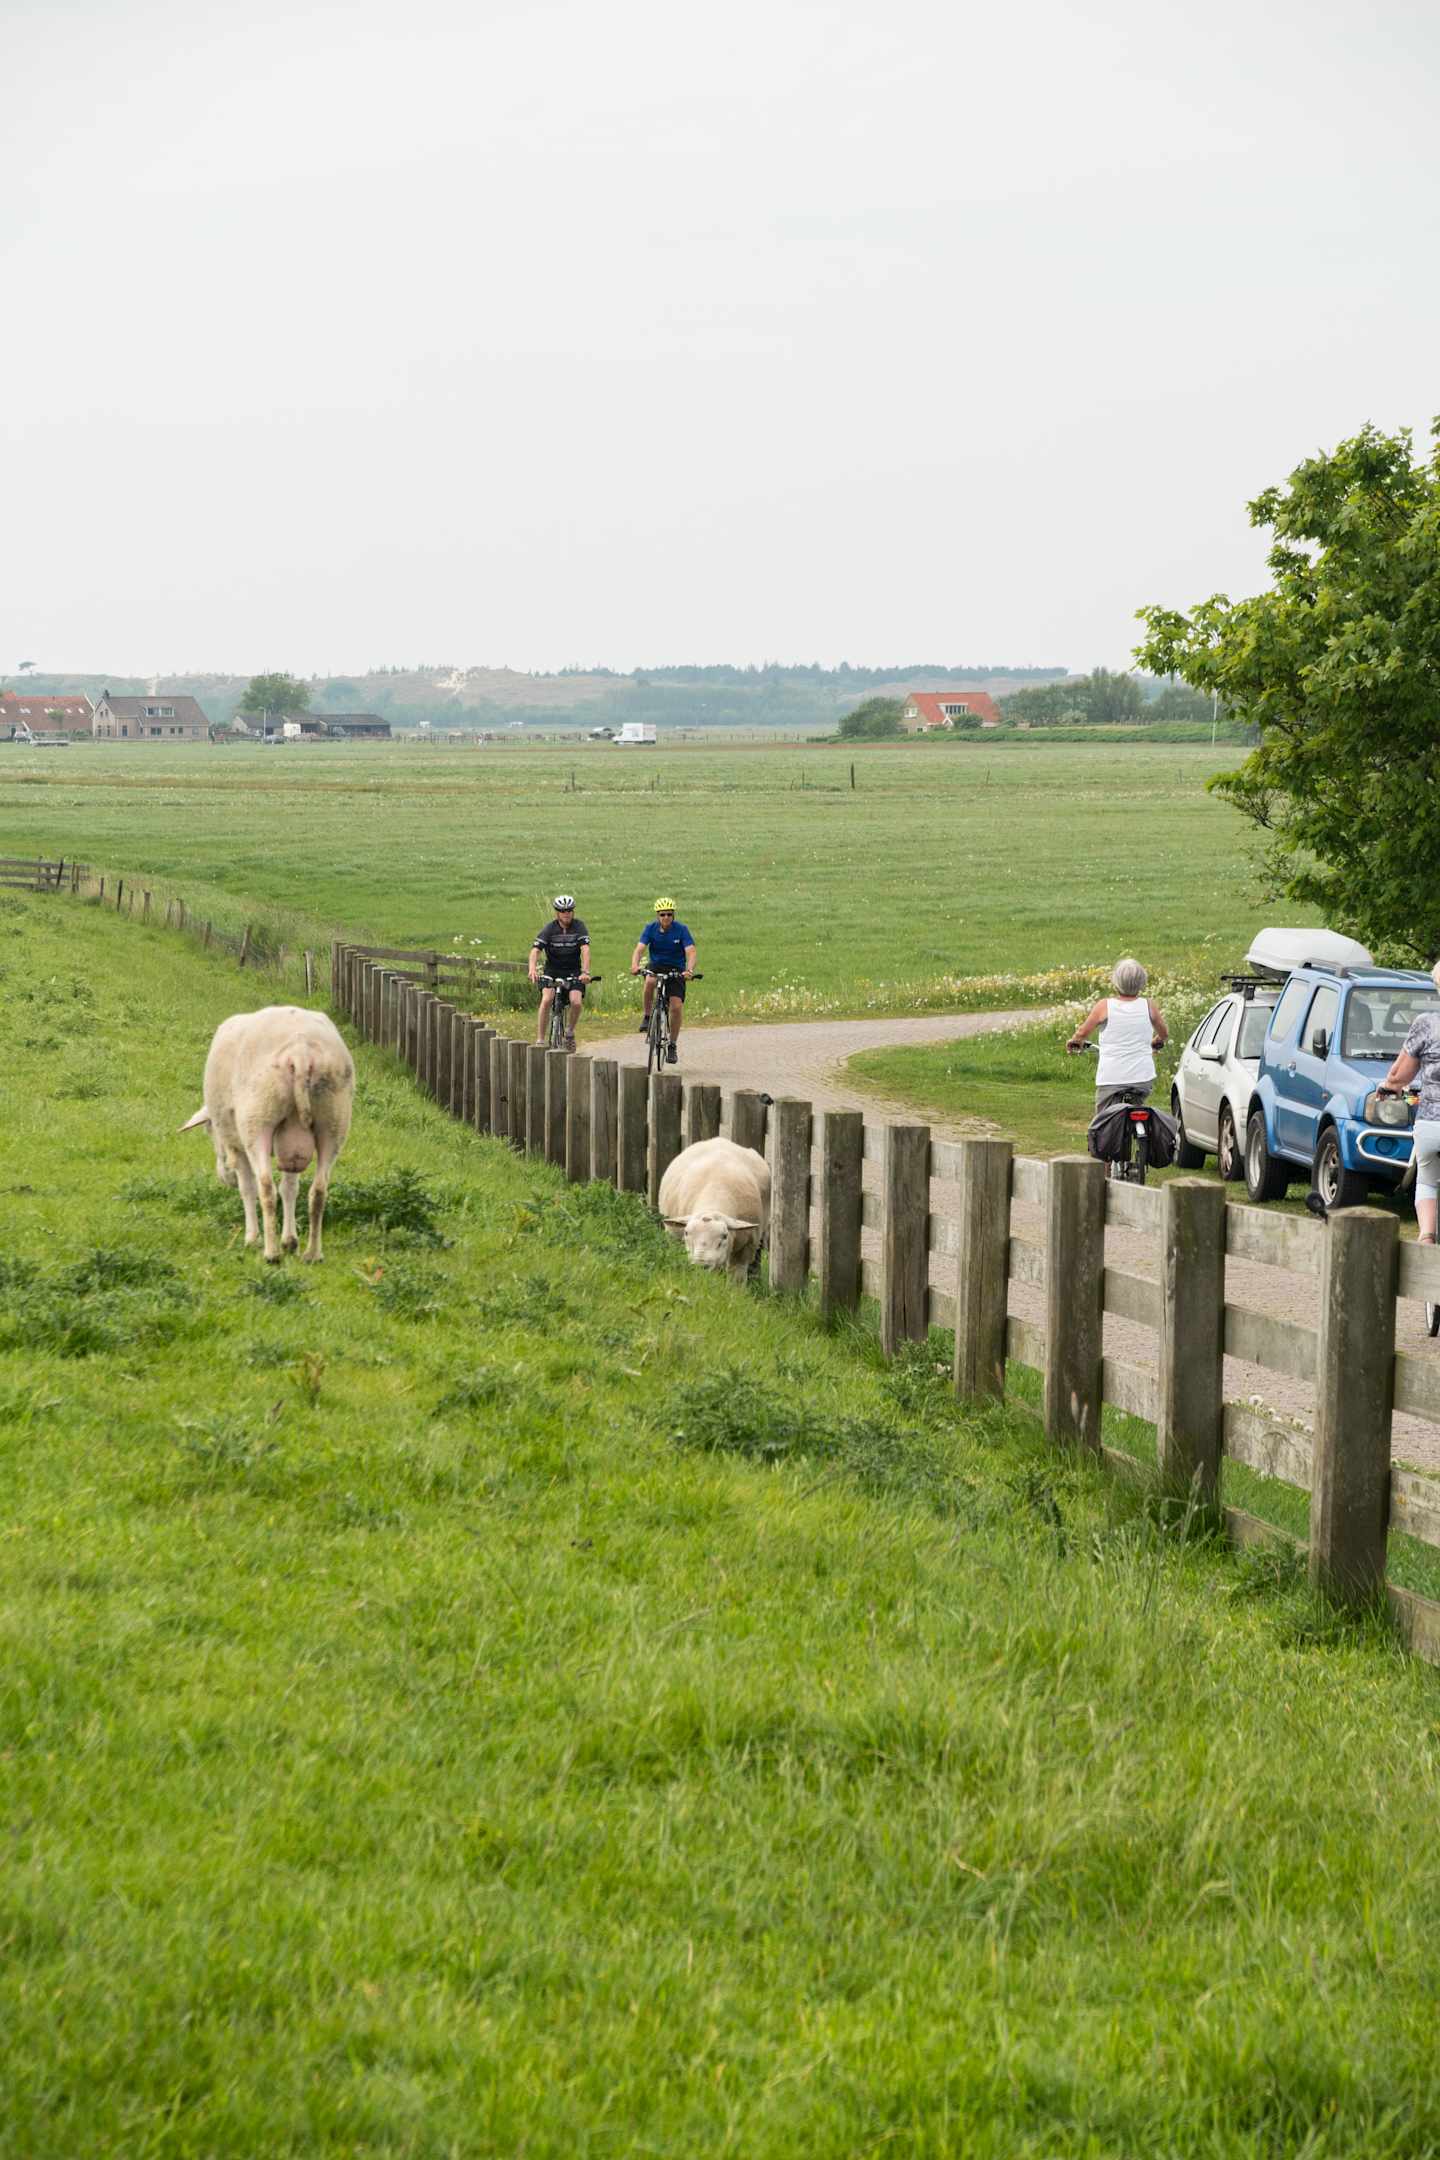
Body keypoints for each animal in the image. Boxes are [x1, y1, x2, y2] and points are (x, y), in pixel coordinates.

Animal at [180, 1005, 354, 1263]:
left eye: (209, 1129)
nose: (225, 1178)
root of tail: (300, 1052)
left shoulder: (235, 1144)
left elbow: (248, 1188)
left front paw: (252, 1238)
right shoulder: (291, 1151)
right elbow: (290, 1189)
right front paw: (290, 1241)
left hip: (257, 1120)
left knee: (265, 1187)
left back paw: (271, 1253)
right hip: (333, 1121)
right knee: (319, 1190)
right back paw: (312, 1254)